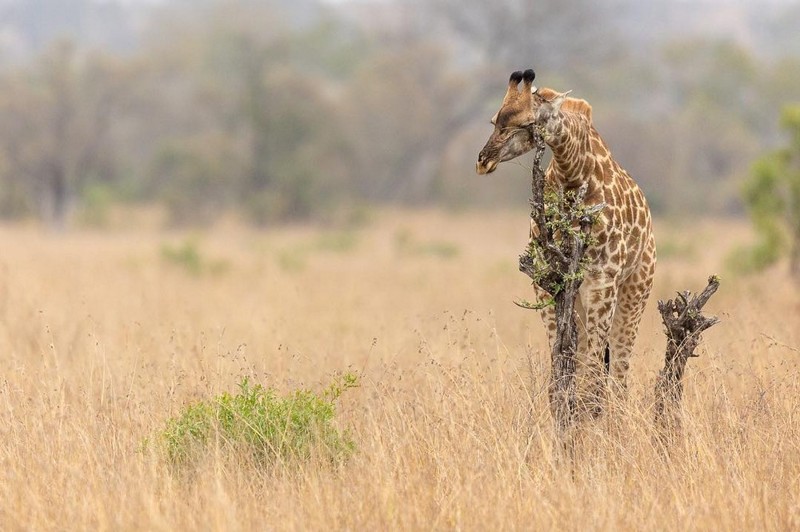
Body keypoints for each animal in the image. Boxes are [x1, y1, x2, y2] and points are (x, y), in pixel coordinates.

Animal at [476, 68, 656, 414]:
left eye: (525, 122)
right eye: (495, 120)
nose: (483, 160)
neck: (574, 174)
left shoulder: (602, 283)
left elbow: (593, 378)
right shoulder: (548, 282)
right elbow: (561, 368)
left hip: (635, 292)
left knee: (618, 374)